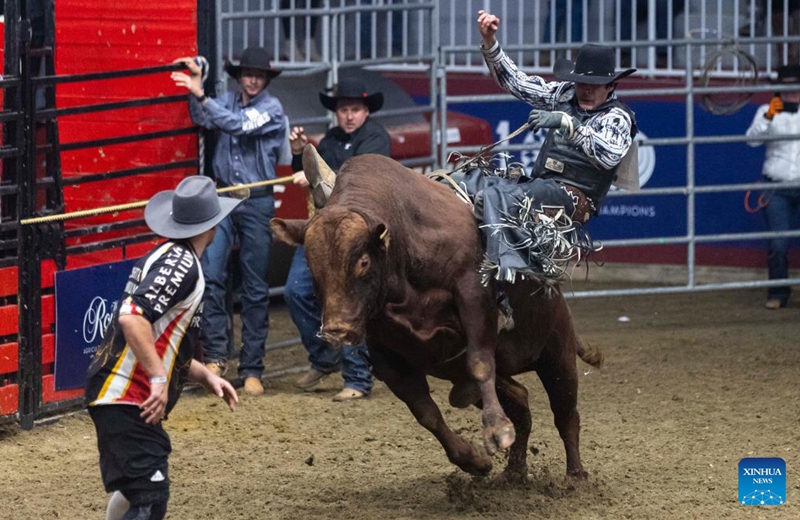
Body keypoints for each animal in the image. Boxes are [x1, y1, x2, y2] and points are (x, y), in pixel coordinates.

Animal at [268, 146, 600, 480]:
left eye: (362, 262)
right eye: (313, 266)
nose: (337, 329)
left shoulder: (473, 292)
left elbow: (480, 362)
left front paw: (496, 430)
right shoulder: (385, 353)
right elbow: (425, 412)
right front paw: (474, 460)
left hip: (557, 352)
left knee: (566, 414)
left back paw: (576, 477)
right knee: (520, 403)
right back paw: (514, 472)